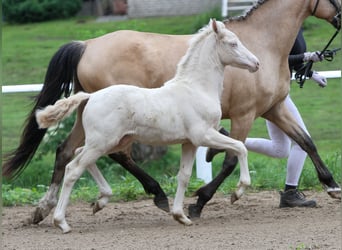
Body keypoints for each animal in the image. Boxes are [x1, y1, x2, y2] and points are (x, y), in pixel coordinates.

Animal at [3, 0, 342, 224]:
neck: (266, 41)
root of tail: (86, 44)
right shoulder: (245, 114)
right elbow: (233, 158)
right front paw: (202, 201)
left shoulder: (273, 108)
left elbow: (306, 141)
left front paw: (331, 186)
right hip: (113, 131)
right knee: (109, 155)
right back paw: (156, 196)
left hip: (88, 122)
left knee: (66, 151)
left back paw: (43, 210)